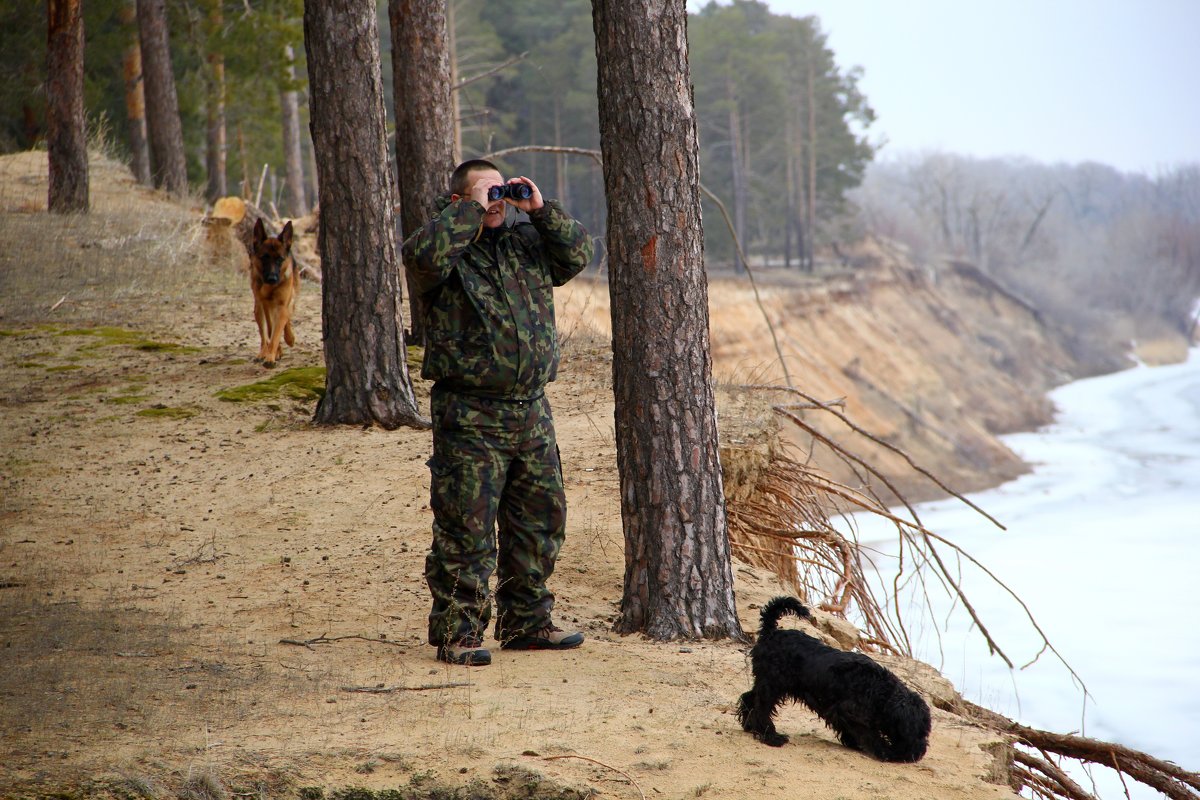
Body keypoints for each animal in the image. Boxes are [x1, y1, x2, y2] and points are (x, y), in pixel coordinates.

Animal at [249, 220, 298, 367]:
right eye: (264, 258)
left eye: (280, 259)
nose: (272, 278)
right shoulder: (265, 305)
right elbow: (271, 331)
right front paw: (273, 353)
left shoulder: (282, 305)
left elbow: (277, 331)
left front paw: (271, 357)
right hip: (258, 309)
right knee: (264, 334)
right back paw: (263, 352)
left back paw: (289, 338)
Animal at [734, 594, 931, 762]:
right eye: (913, 731)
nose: (918, 754)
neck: (881, 690)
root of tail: (771, 632)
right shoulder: (849, 712)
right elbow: (870, 734)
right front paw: (884, 751)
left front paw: (854, 743)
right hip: (773, 684)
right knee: (762, 708)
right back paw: (771, 737)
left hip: (769, 682)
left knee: (749, 698)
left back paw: (749, 726)